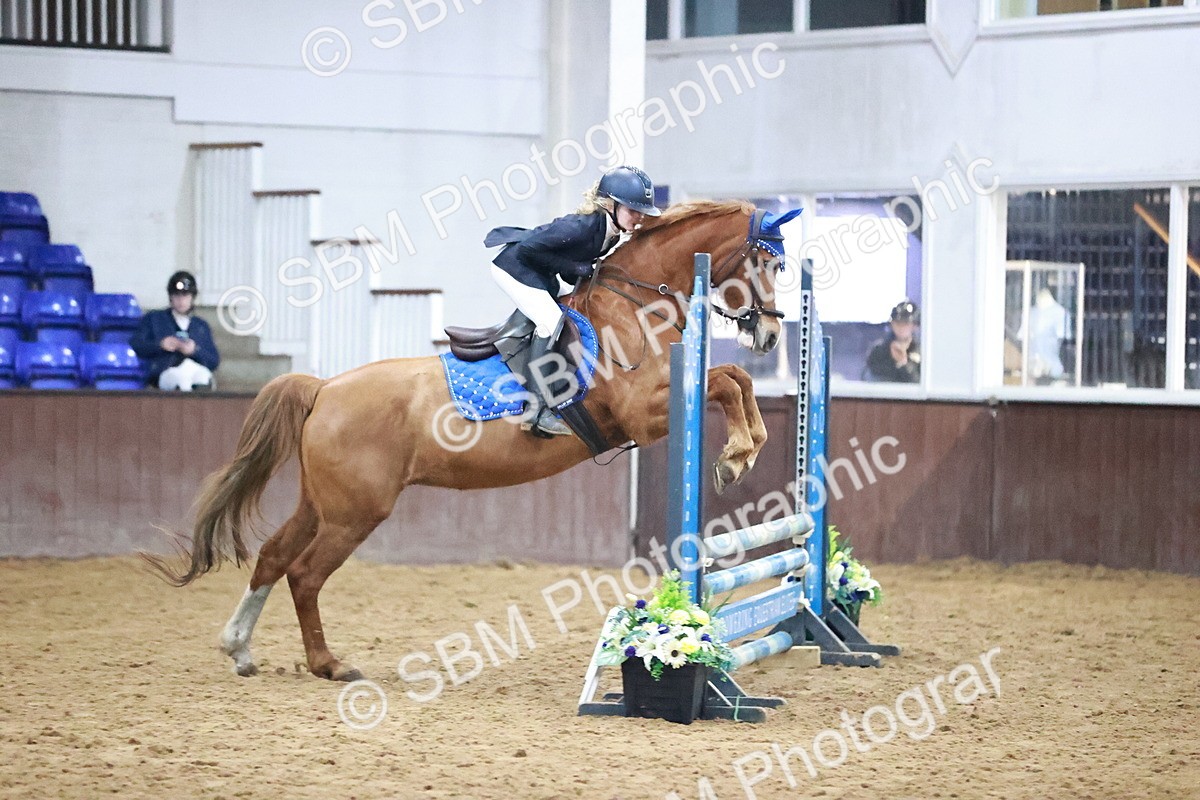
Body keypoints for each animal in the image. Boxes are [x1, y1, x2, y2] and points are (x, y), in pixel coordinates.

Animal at [146, 199, 790, 682]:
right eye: (767, 262)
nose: (770, 333)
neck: (634, 308)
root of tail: (325, 387)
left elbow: (736, 379)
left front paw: (744, 451)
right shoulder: (644, 414)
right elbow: (726, 381)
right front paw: (736, 457)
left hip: (323, 502)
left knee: (274, 556)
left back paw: (239, 648)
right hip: (356, 511)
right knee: (304, 574)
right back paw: (329, 664)